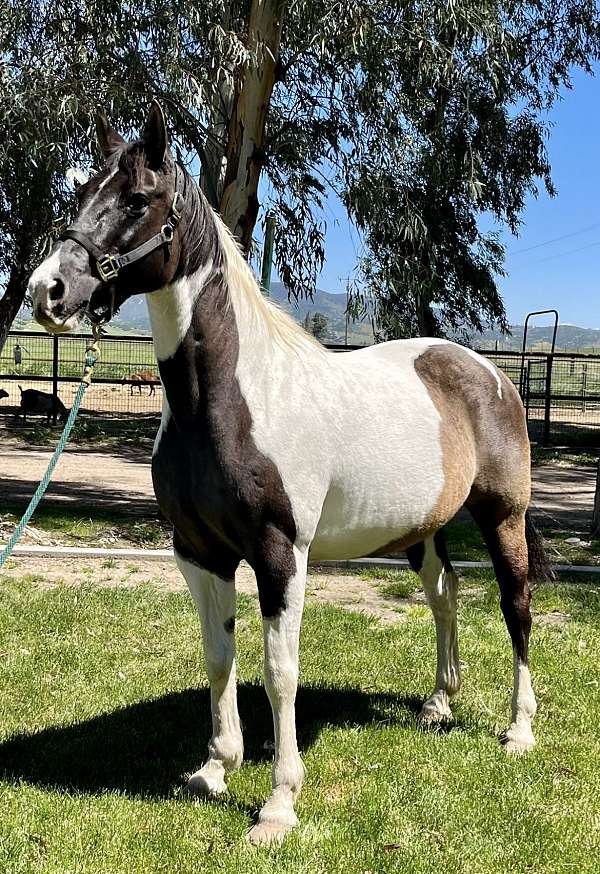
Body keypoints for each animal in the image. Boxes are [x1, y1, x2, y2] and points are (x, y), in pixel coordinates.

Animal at [28, 102, 552, 844]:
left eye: (136, 199)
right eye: (80, 194)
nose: (47, 291)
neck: (233, 399)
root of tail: (490, 374)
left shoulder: (281, 555)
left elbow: (281, 670)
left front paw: (278, 804)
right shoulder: (199, 553)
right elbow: (219, 655)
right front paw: (215, 768)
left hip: (502, 517)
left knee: (516, 607)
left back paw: (518, 731)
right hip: (424, 528)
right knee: (445, 594)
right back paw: (439, 704)